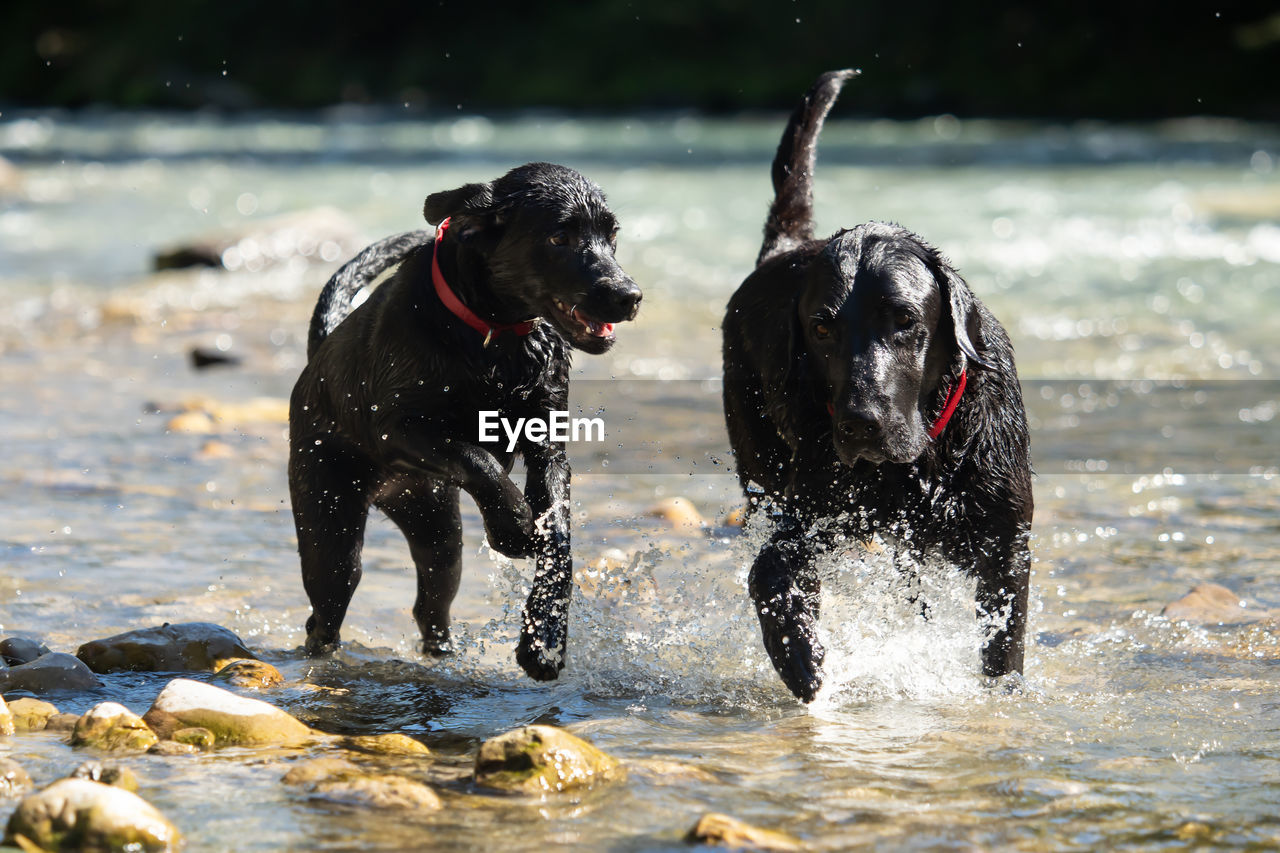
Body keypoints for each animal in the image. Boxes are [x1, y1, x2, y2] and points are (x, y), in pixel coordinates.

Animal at [294, 159, 645, 676]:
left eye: (612, 234)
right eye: (559, 237)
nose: (629, 295)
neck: (495, 337)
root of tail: (320, 351)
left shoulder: (548, 447)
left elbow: (558, 538)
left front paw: (545, 639)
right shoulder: (397, 427)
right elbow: (479, 459)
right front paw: (514, 527)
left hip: (438, 530)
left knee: (430, 607)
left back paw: (444, 656)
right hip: (331, 528)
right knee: (325, 615)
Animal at [727, 71, 1034, 696]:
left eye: (904, 320)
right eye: (821, 327)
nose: (860, 423)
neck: (922, 461)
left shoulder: (1006, 540)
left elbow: (1003, 643)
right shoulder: (810, 512)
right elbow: (771, 567)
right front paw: (800, 655)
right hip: (760, 469)